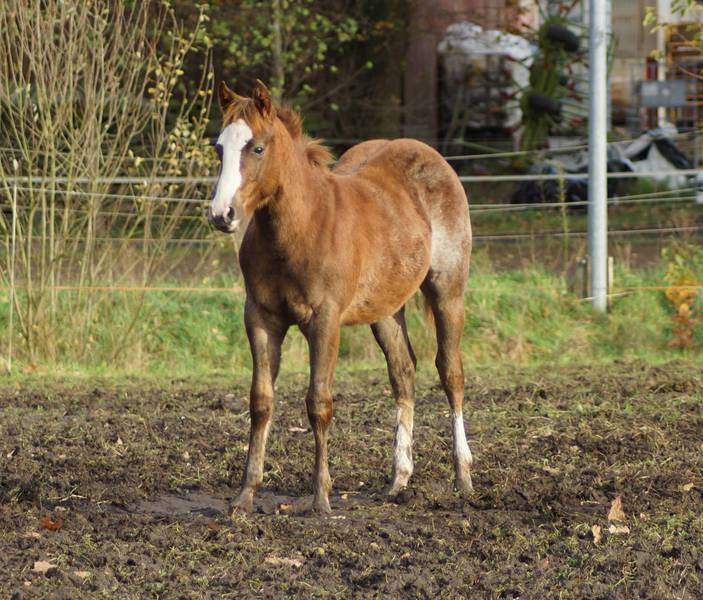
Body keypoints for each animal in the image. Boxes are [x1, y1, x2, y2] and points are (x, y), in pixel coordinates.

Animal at [209, 79, 474, 514]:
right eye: (219, 148)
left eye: (257, 148)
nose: (221, 214)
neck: (299, 229)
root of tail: (431, 156)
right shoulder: (260, 318)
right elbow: (261, 402)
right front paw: (245, 495)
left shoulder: (324, 321)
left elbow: (319, 403)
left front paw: (321, 498)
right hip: (385, 310)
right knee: (403, 373)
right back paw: (398, 480)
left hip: (448, 290)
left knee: (450, 373)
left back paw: (463, 477)